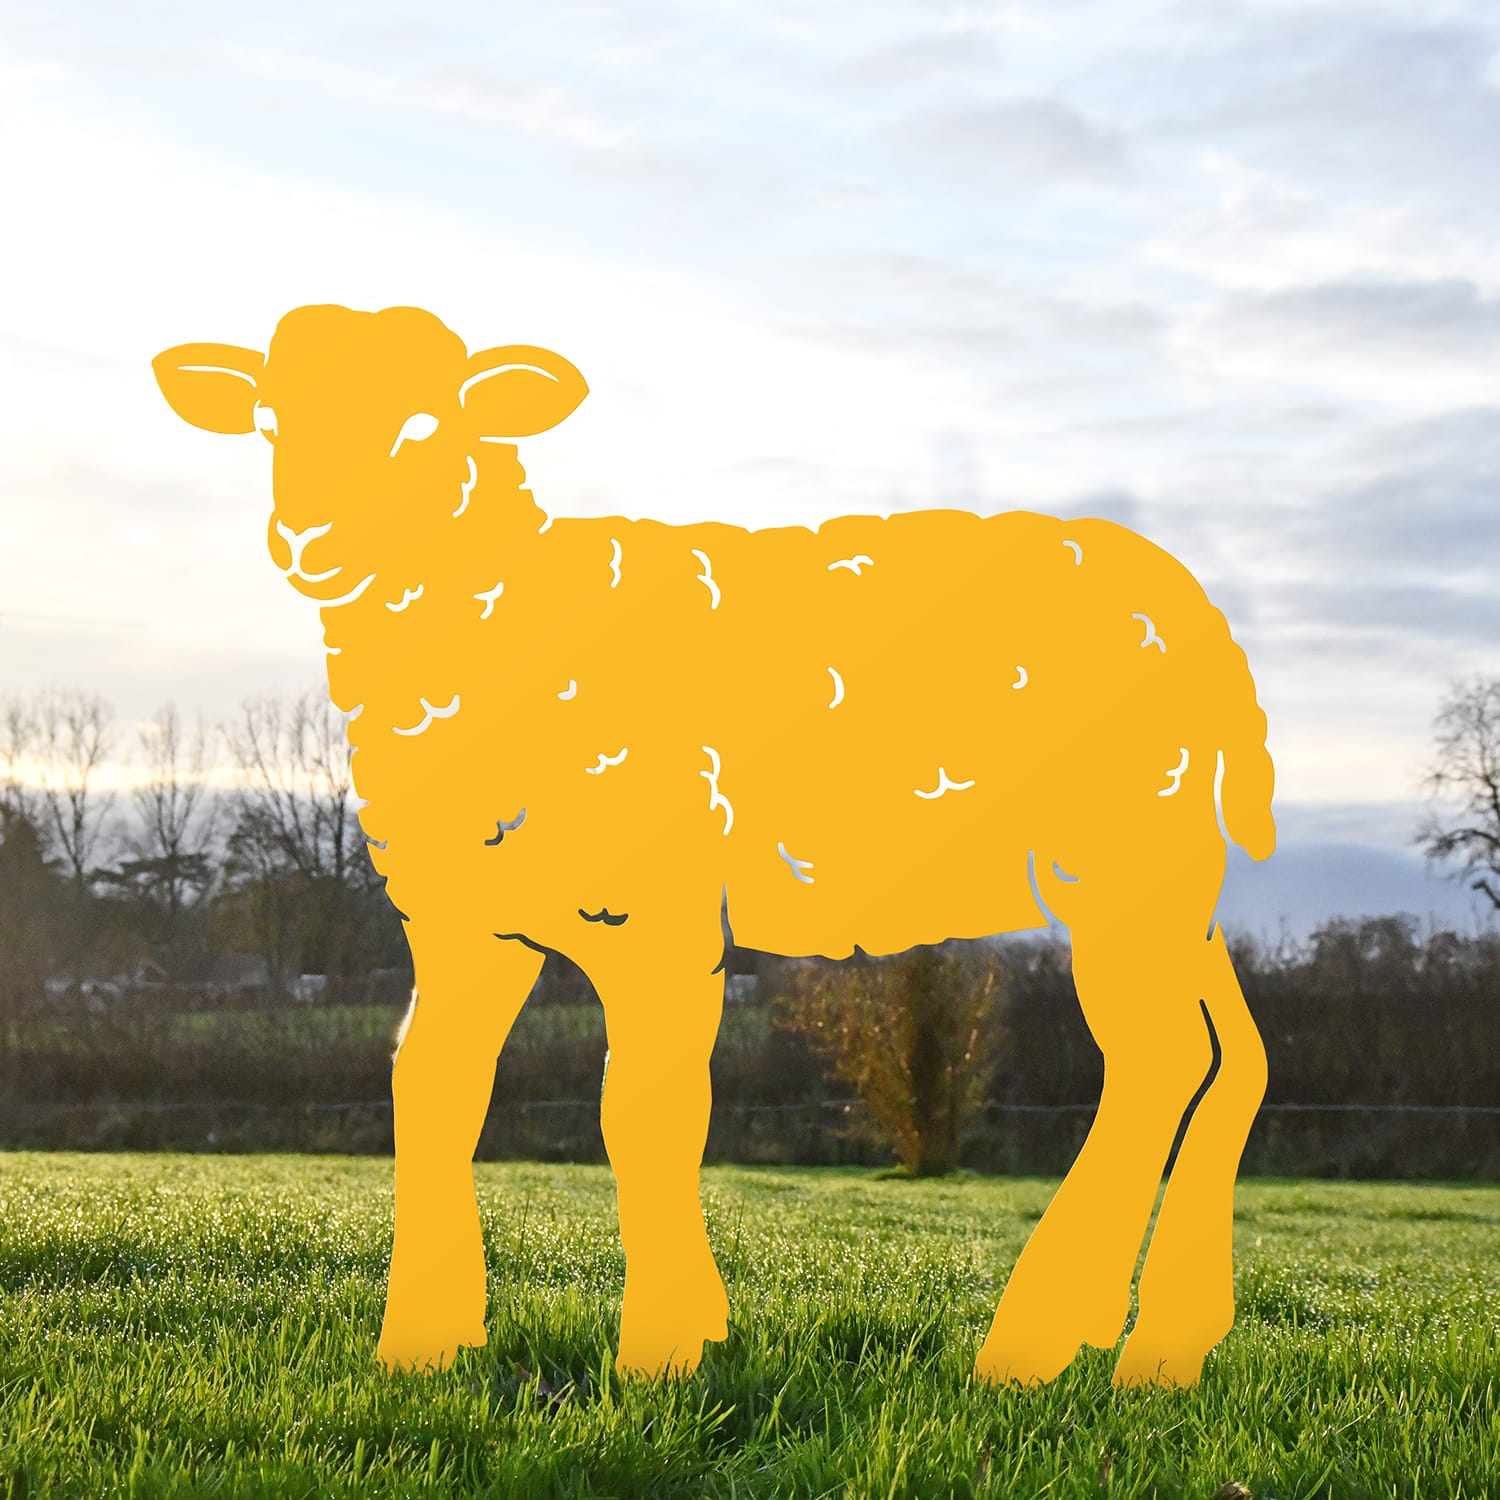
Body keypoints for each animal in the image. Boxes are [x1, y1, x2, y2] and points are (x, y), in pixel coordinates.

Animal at [152, 302, 1275, 1390]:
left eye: (429, 424)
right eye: (268, 422)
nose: (313, 539)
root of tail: (1200, 612)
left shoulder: (654, 903)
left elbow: (641, 1112)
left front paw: (661, 1349)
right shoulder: (463, 920)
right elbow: (429, 1093)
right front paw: (423, 1344)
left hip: (1126, 855)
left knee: (1160, 1062)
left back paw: (1037, 1345)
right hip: (1176, 876)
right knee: (1232, 1057)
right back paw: (1159, 1340)